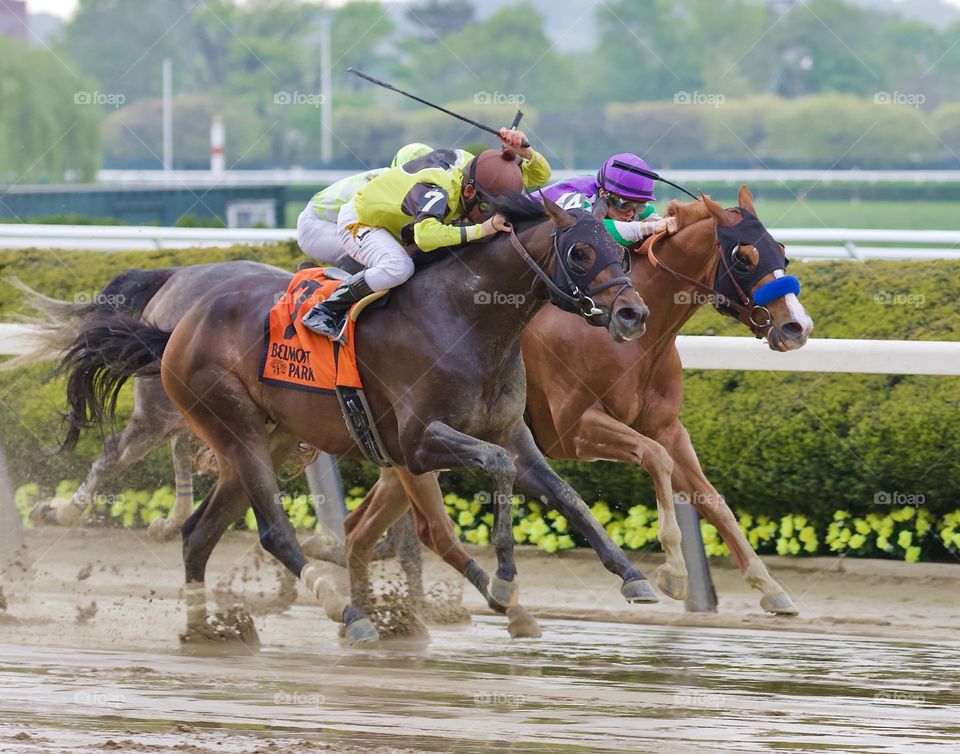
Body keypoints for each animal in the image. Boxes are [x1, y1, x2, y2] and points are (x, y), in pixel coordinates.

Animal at [53, 195, 654, 644]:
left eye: (624, 252)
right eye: (580, 252)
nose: (633, 314)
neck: (466, 318)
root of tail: (176, 326)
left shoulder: (510, 431)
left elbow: (566, 494)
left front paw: (633, 576)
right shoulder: (415, 445)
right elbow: (498, 467)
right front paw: (505, 581)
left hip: (266, 438)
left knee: (199, 534)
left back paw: (207, 630)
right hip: (234, 426)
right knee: (273, 531)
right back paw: (348, 613)